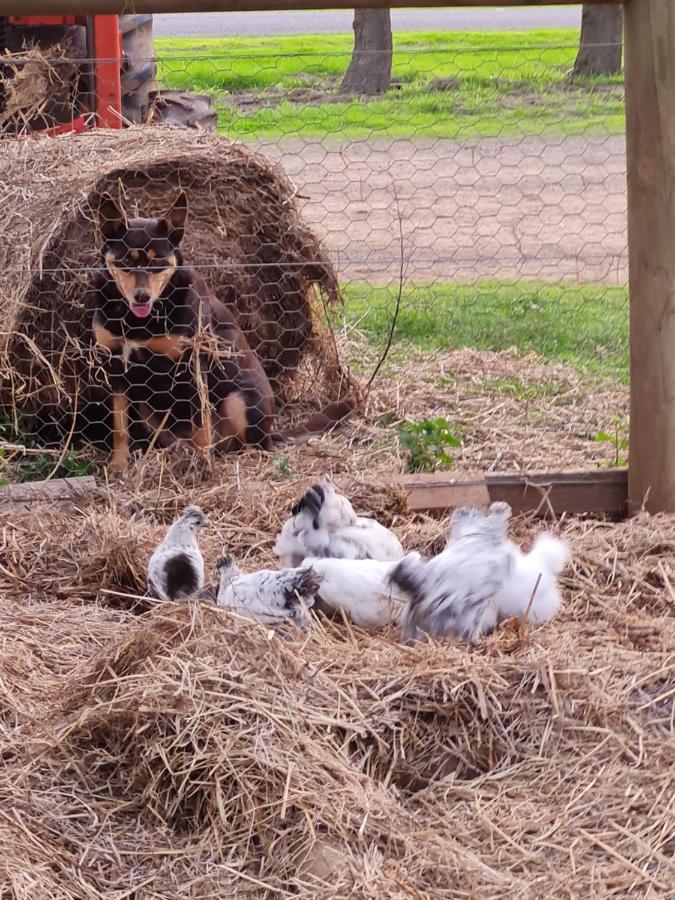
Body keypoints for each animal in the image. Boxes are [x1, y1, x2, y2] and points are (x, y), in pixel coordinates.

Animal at [90, 191, 274, 472]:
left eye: (157, 261)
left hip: (239, 400)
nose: (141, 296)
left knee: (255, 443)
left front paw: (203, 464)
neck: (140, 321)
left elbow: (200, 421)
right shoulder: (115, 366)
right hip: (147, 410)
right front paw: (118, 464)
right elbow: (119, 426)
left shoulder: (192, 365)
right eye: (125, 261)